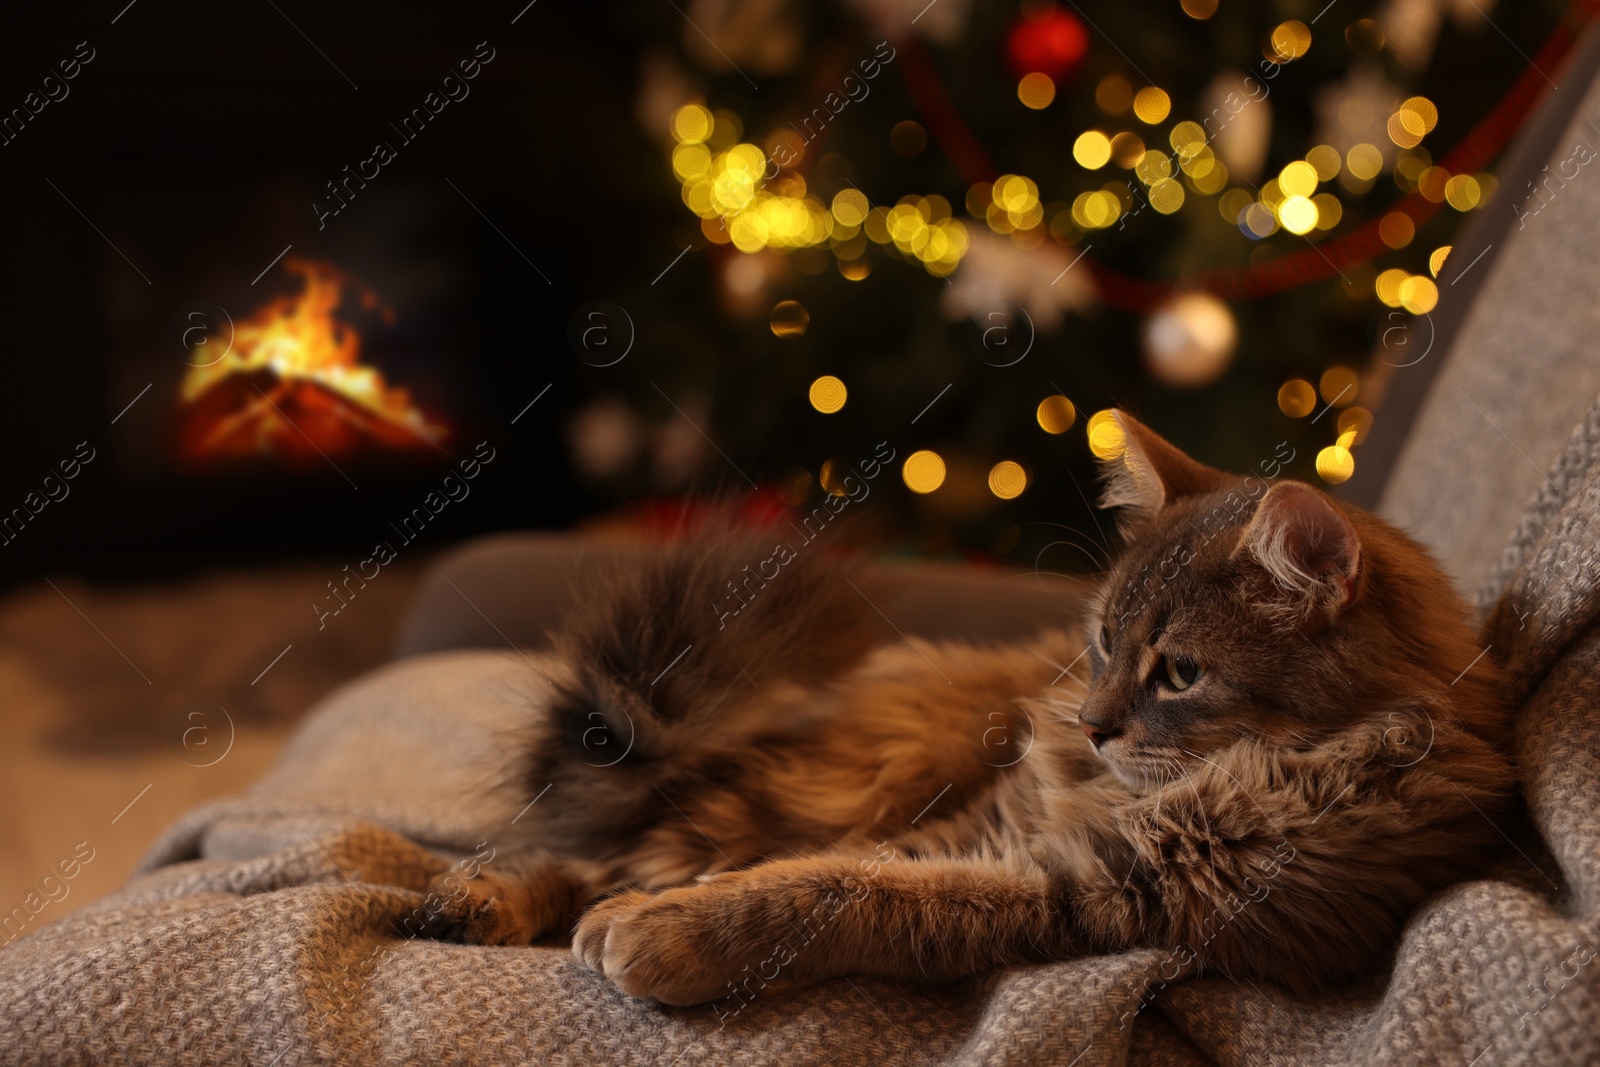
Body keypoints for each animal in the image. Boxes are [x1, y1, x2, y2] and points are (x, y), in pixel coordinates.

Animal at [425, 412, 1510, 1017]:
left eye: (1181, 672)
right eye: (1104, 638)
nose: (1090, 724)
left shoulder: (1085, 892)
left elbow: (833, 891)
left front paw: (668, 930)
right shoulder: (977, 826)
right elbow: (817, 872)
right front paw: (653, 912)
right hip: (849, 775)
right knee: (607, 840)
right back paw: (475, 898)